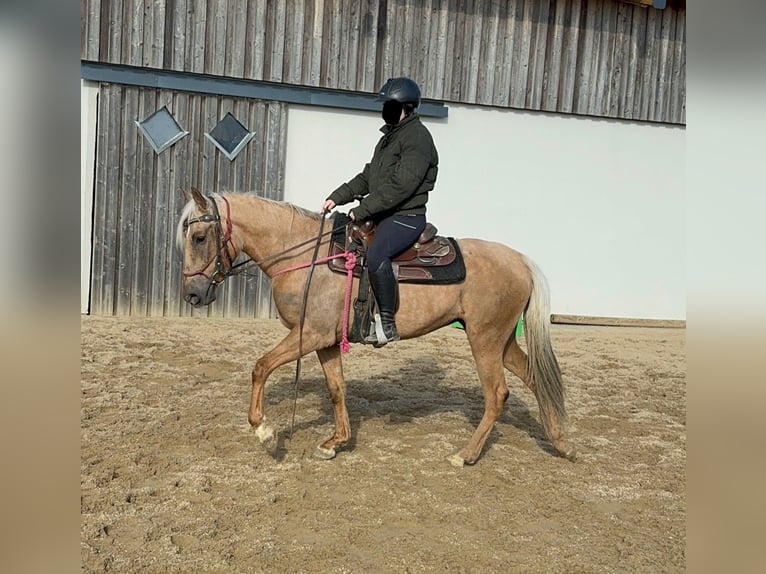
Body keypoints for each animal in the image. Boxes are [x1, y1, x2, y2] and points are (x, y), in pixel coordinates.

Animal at [178, 189, 576, 468]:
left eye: (199, 238)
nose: (192, 294)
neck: (304, 256)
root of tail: (521, 260)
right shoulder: (325, 342)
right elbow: (336, 389)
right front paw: (336, 442)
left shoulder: (307, 335)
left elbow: (260, 366)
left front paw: (263, 431)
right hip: (502, 340)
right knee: (536, 378)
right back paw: (560, 442)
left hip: (485, 340)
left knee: (496, 395)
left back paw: (465, 455)